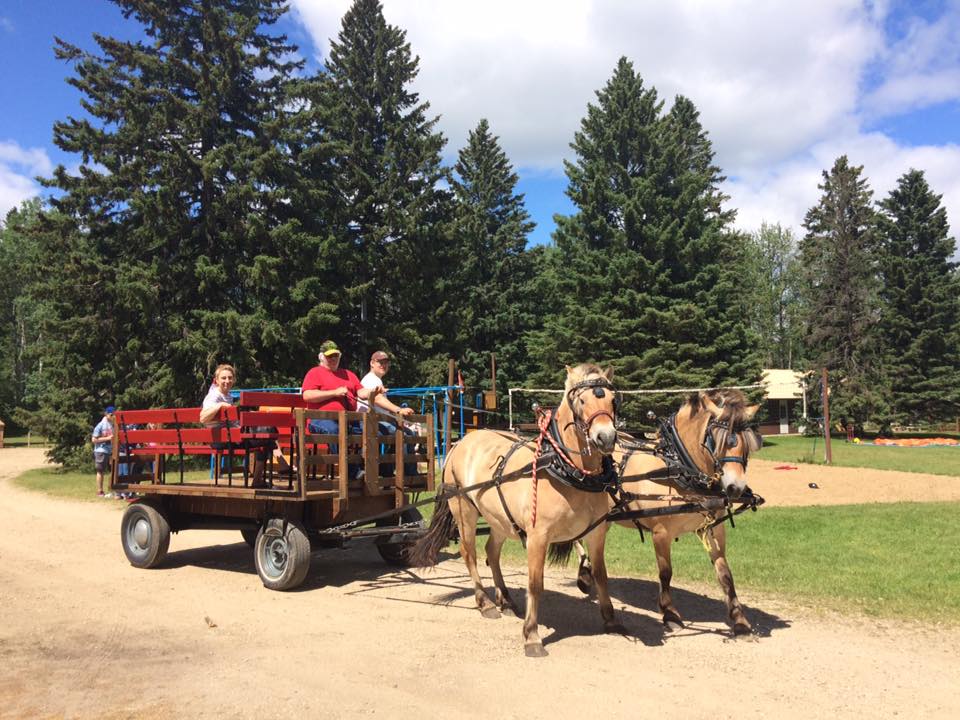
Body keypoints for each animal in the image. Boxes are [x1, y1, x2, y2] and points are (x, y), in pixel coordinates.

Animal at [412, 366, 624, 660]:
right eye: (581, 400)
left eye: (613, 400)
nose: (606, 437)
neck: (566, 469)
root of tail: (460, 442)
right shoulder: (537, 537)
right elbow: (535, 584)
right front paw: (531, 635)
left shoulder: (597, 533)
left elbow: (601, 576)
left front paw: (611, 619)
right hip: (463, 509)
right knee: (470, 553)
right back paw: (485, 602)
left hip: (499, 518)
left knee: (491, 551)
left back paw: (506, 599)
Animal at [572, 390, 760, 632]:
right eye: (715, 440)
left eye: (747, 441)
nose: (735, 488)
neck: (677, 467)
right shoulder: (661, 532)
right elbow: (666, 572)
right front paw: (670, 613)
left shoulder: (713, 529)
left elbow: (725, 574)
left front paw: (739, 620)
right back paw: (584, 575)